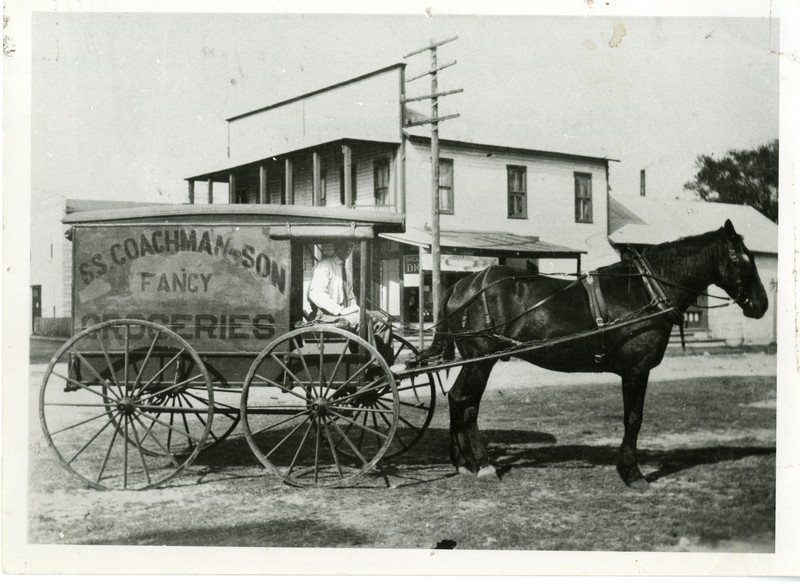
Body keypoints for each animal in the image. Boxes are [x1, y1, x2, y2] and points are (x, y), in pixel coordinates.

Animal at [412, 221, 768, 490]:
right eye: (743, 260)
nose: (761, 305)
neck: (645, 290)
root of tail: (462, 285)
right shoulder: (636, 370)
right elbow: (633, 418)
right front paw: (632, 473)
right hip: (481, 359)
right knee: (465, 402)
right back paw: (483, 464)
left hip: (477, 361)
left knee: (461, 400)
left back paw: (463, 463)